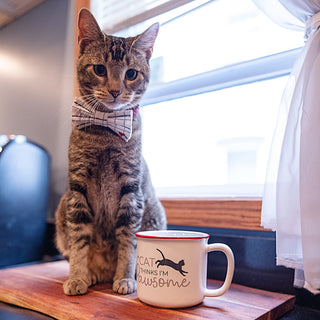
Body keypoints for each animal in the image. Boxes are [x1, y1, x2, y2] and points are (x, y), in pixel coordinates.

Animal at [54, 8, 166, 296]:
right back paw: (92, 274)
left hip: (154, 213)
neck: (106, 133)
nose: (116, 90)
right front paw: (78, 276)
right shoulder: (77, 189)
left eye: (131, 74)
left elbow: (128, 242)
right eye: (100, 69)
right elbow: (79, 241)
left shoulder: (131, 190)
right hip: (62, 210)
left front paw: (125, 277)